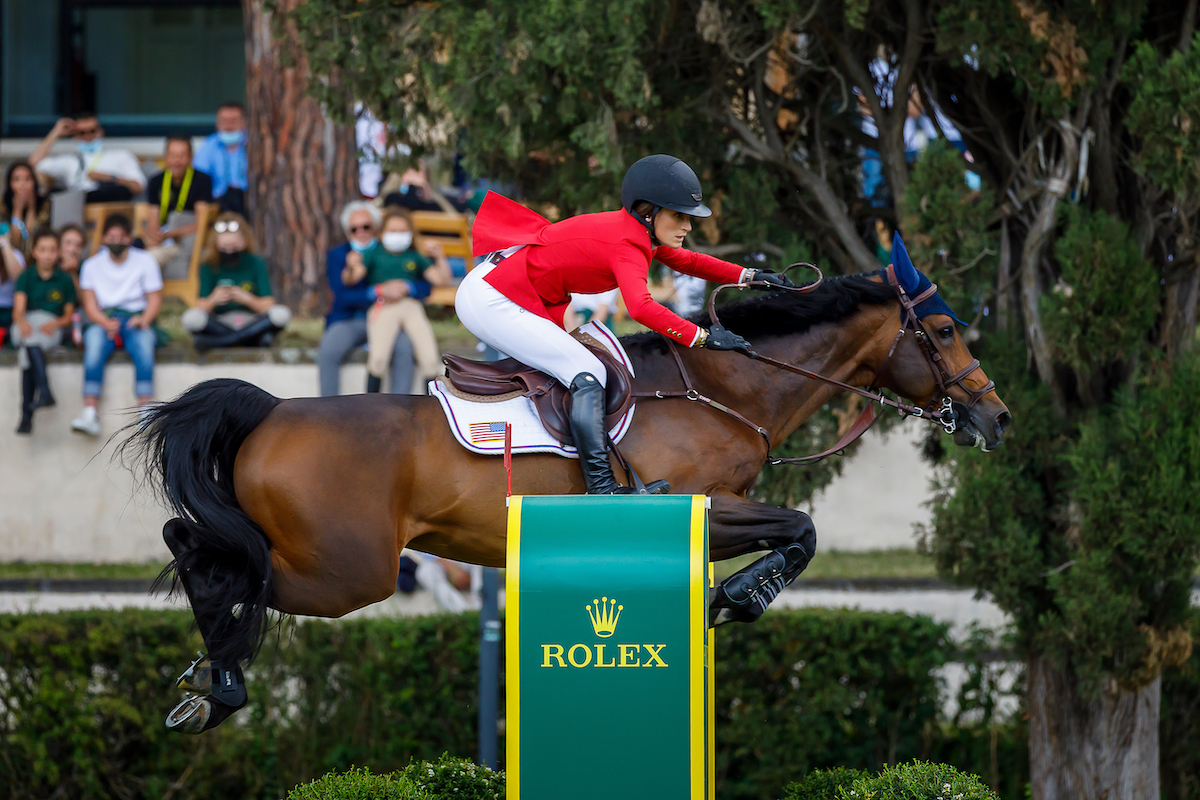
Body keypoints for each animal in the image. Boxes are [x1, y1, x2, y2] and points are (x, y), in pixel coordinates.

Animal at [124, 263, 1003, 734]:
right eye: (946, 331)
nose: (995, 418)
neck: (724, 391)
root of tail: (273, 409)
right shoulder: (695, 503)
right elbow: (804, 528)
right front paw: (738, 598)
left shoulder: (707, 520)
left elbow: (795, 533)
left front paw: (733, 596)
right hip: (348, 571)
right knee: (222, 566)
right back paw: (222, 683)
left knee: (198, 546)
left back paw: (210, 678)